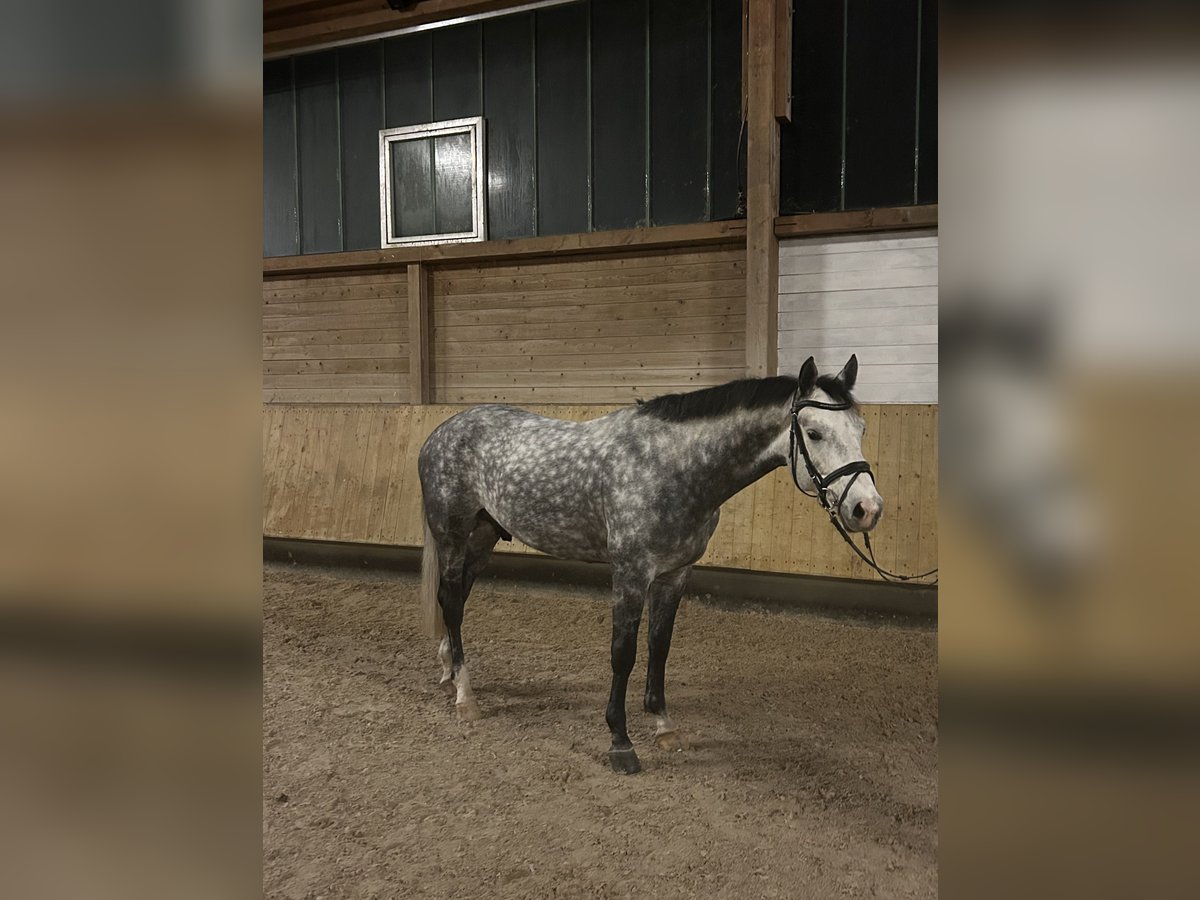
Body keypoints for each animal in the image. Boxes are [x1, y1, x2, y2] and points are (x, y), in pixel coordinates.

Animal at [417, 355, 883, 774]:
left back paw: (448, 669)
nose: (867, 509)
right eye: (814, 433)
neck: (671, 466)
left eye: (860, 429)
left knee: (455, 597)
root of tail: (440, 432)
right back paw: (465, 695)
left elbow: (659, 646)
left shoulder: (675, 575)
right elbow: (623, 653)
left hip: (484, 536)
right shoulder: (630, 574)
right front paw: (620, 742)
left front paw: (663, 724)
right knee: (452, 602)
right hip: (452, 536)